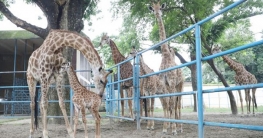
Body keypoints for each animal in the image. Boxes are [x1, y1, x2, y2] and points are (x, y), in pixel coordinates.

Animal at [150, 0, 185, 135]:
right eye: (153, 9)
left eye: (161, 8)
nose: (158, 14)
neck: (165, 55)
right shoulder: (165, 83)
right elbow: (167, 104)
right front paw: (166, 128)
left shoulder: (171, 82)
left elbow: (171, 104)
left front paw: (173, 129)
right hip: (173, 86)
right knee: (173, 103)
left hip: (180, 85)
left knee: (178, 104)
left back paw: (180, 127)